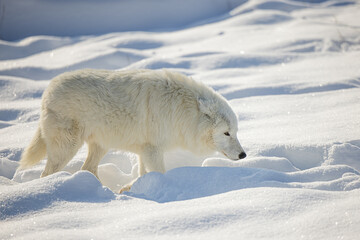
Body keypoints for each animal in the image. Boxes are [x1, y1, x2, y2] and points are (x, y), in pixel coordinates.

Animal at [19, 69, 245, 189]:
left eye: (235, 132)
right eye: (226, 133)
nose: (243, 155)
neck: (182, 110)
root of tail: (48, 90)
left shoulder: (146, 149)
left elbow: (143, 173)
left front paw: (131, 189)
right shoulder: (153, 149)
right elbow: (159, 172)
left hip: (100, 146)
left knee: (87, 168)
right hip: (67, 148)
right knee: (47, 173)